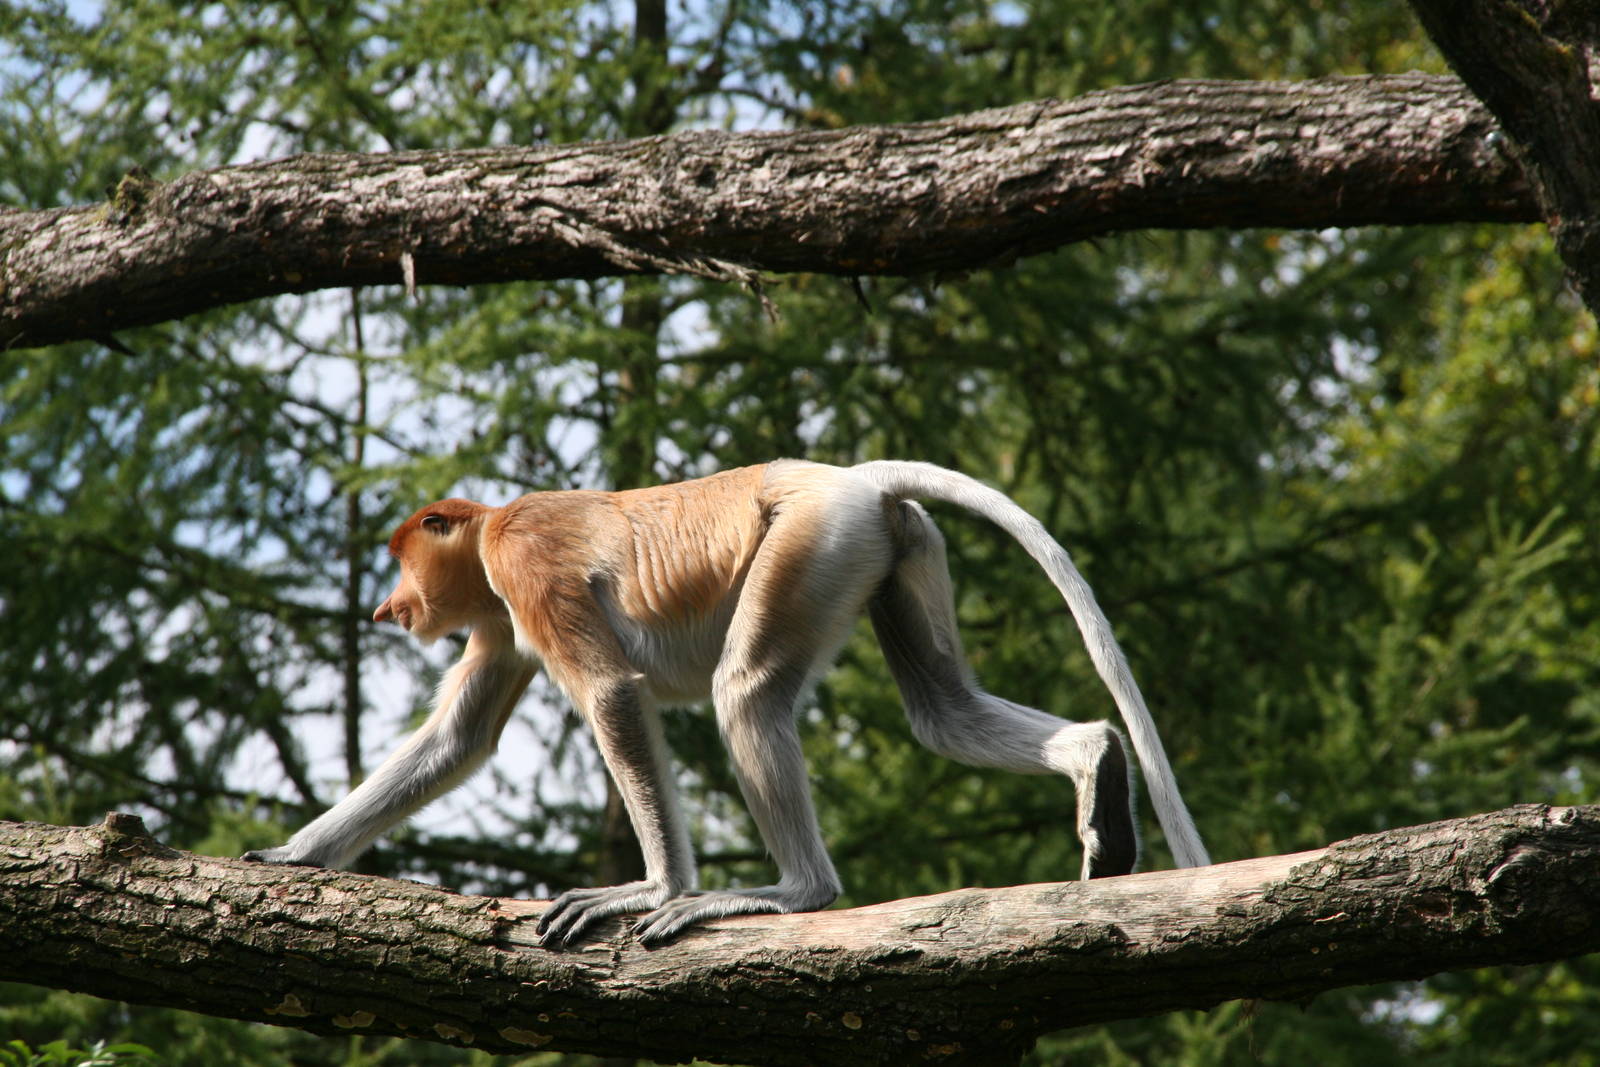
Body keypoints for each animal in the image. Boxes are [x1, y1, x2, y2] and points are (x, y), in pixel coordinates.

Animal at [244, 460, 1209, 945]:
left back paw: (792, 893)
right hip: (894, 546)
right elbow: (461, 735)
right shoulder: (498, 617)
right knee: (943, 708)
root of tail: (850, 474)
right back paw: (1095, 756)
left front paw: (647, 890)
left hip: (809, 546)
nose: (389, 606)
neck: (490, 531)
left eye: (406, 555)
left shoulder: (523, 566)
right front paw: (290, 854)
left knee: (743, 693)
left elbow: (612, 693)